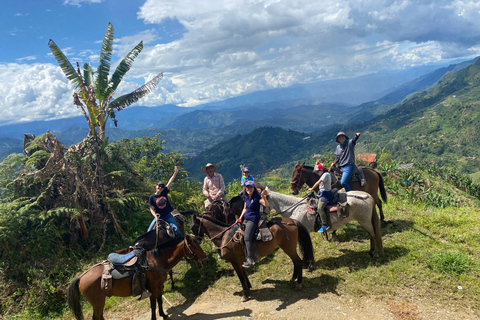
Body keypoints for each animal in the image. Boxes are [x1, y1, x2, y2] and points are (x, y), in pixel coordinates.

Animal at [67, 235, 208, 320]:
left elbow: (159, 301)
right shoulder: (153, 288)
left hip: (100, 302)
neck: (156, 260)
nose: (205, 260)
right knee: (96, 317)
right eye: (194, 246)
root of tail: (81, 277)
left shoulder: (159, 286)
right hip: (98, 302)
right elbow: (153, 305)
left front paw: (163, 315)